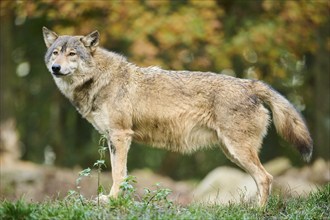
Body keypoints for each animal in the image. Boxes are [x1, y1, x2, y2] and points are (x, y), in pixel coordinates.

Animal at [42, 27, 314, 206]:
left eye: (72, 54)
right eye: (55, 53)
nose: (55, 68)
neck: (99, 79)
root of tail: (250, 84)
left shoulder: (120, 136)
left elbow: (118, 174)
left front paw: (112, 200)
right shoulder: (112, 139)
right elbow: (122, 174)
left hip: (238, 151)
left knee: (266, 178)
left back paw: (258, 212)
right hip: (232, 152)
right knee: (262, 179)